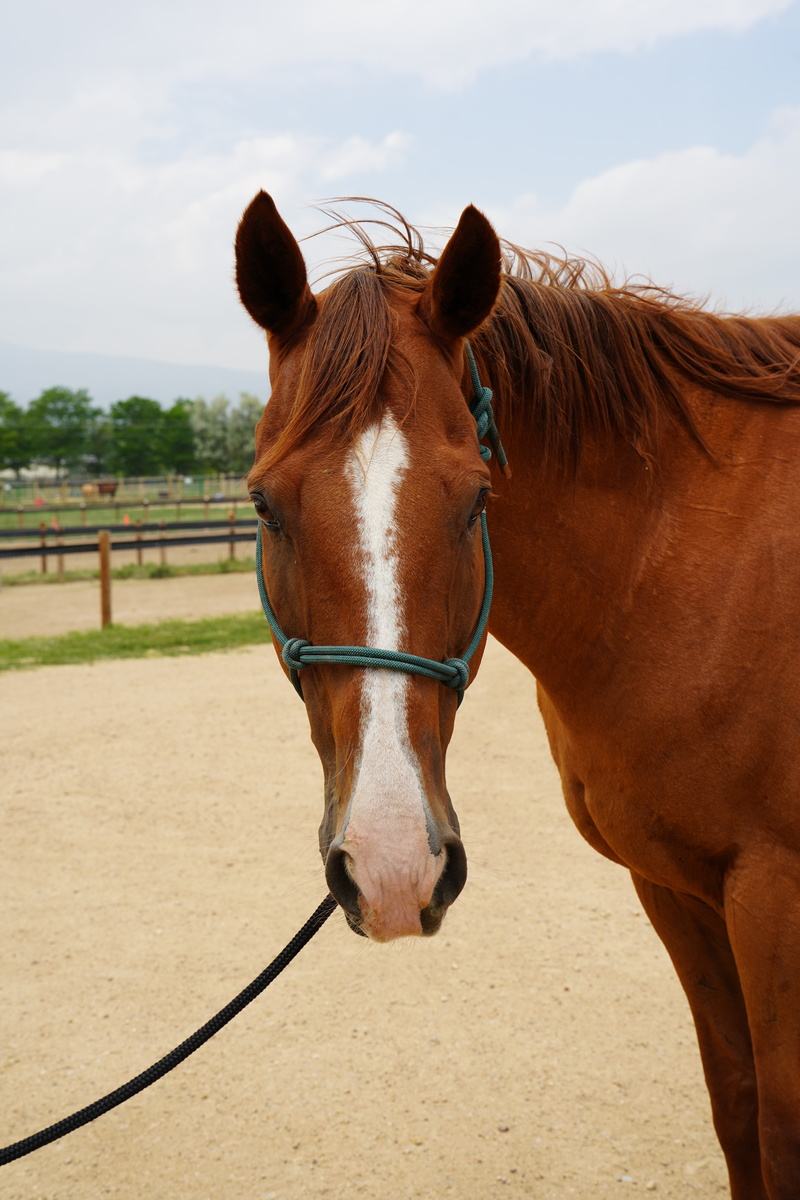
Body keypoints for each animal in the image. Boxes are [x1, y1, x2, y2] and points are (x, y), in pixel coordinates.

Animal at [235, 190, 800, 1199]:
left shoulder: (775, 893)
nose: (392, 868)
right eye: (264, 504)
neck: (678, 572)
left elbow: (783, 1130)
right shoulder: (678, 887)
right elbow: (739, 1108)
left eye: (475, 499)